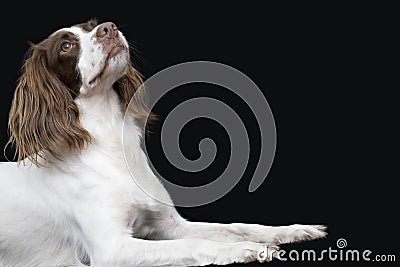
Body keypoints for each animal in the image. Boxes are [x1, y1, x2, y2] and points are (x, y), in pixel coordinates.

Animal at [0, 19, 324, 267]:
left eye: (92, 25)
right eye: (66, 46)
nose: (109, 28)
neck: (109, 143)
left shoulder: (168, 224)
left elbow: (236, 227)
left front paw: (291, 230)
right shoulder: (112, 249)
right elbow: (194, 244)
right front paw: (243, 250)